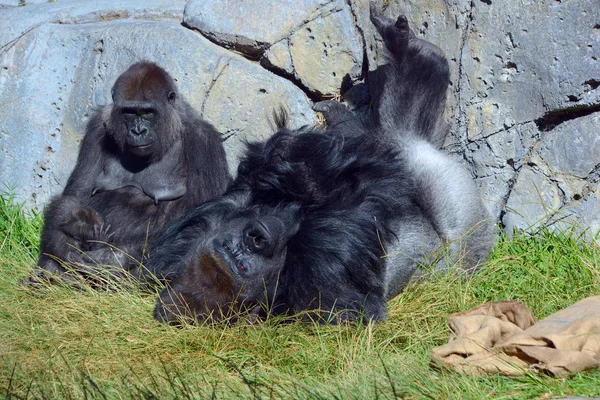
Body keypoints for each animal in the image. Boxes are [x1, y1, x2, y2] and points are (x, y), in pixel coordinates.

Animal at [149, 4, 492, 324]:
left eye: (233, 245)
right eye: (242, 264)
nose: (256, 237)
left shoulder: (214, 215)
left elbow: (268, 167)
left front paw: (289, 169)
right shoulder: (318, 272)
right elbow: (360, 211)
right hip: (459, 225)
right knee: (401, 146)